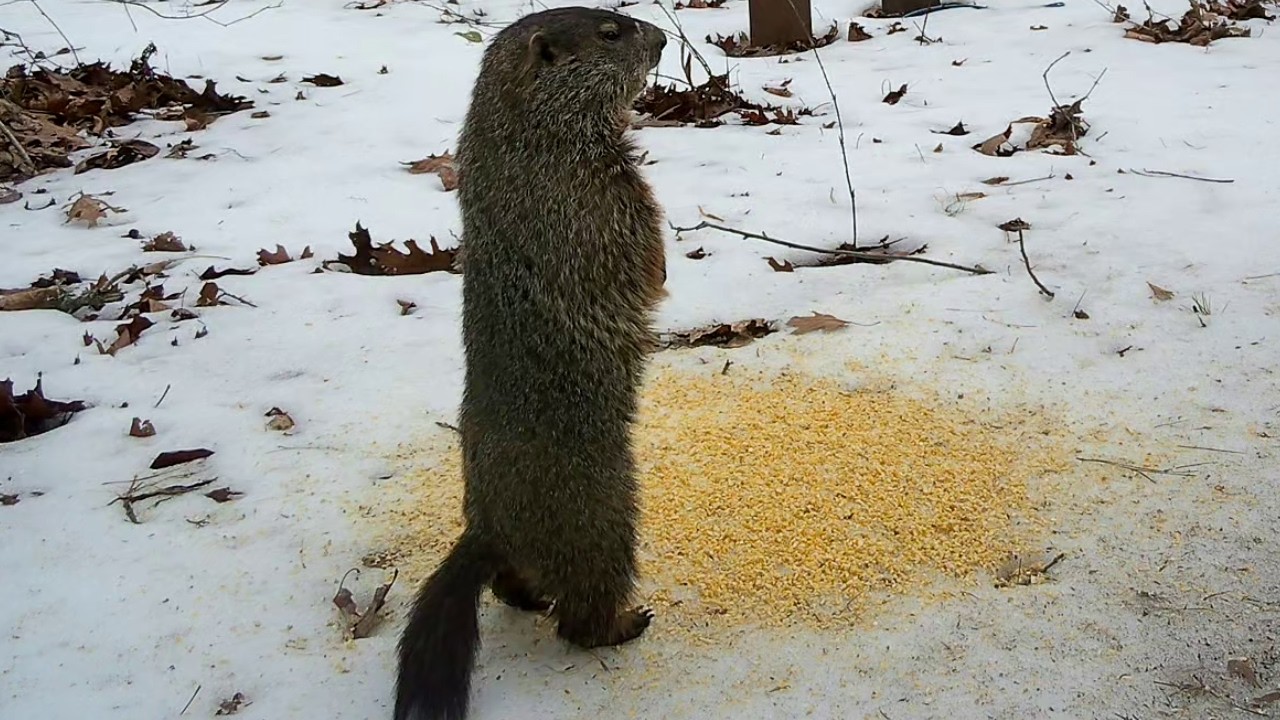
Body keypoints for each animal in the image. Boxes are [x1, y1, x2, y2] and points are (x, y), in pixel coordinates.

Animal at [394, 7, 668, 720]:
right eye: (610, 32)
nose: (662, 38)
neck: (523, 134)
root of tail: (488, 529)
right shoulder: (591, 195)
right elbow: (640, 238)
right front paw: (661, 269)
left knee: (510, 586)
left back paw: (528, 594)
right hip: (602, 515)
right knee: (581, 613)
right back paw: (622, 624)